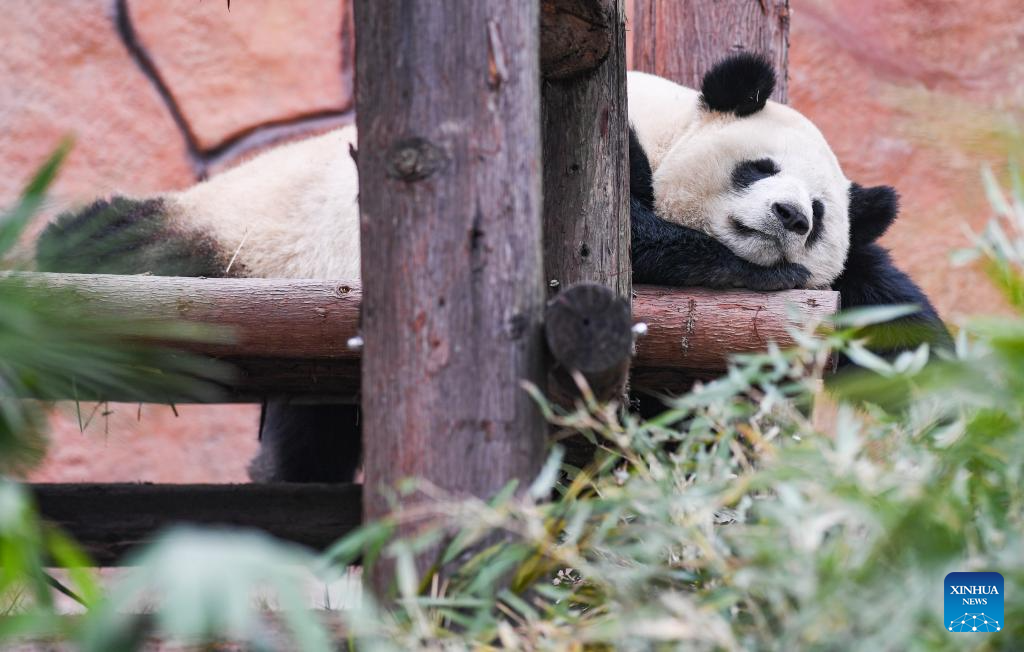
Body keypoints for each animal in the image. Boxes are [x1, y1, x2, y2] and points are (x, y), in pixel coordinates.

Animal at [36, 53, 946, 481]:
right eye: (759, 169)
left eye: (819, 213)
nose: (790, 219)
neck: (667, 124)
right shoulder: (606, 146)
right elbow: (631, 238)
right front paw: (755, 274)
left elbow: (889, 311)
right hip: (245, 239)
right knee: (132, 242)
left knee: (314, 431)